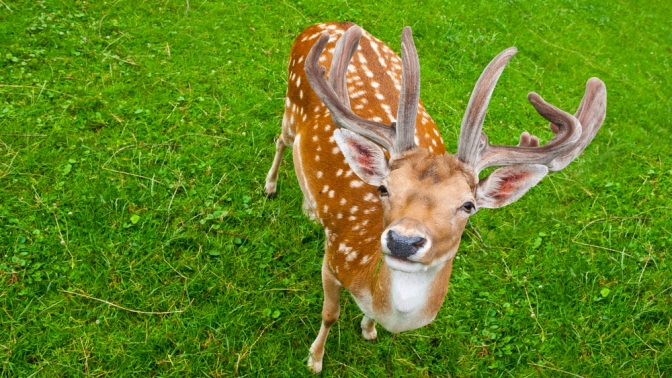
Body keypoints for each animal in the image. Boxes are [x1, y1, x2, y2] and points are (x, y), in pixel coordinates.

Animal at [266, 22, 608, 374]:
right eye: (384, 188)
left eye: (468, 205)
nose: (403, 241)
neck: (373, 288)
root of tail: (328, 25)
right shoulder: (335, 256)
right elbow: (329, 314)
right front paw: (314, 360)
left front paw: (368, 330)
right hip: (291, 103)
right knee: (281, 140)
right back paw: (270, 186)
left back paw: (309, 208)